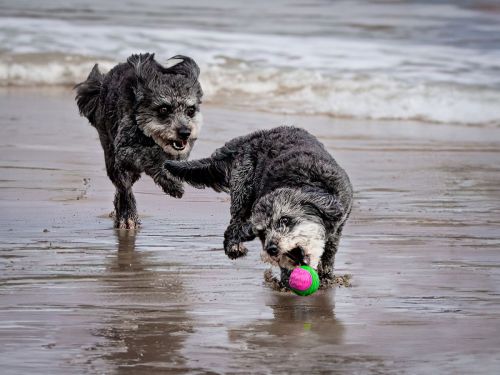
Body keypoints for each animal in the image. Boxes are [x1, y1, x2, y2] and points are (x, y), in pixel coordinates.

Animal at [74, 53, 203, 229]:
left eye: (190, 110)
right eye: (164, 109)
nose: (185, 133)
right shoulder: (125, 151)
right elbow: (148, 158)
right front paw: (171, 185)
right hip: (112, 156)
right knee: (123, 186)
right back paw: (127, 216)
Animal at [164, 126, 352, 288]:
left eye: (285, 219)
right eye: (262, 232)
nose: (272, 249)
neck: (304, 181)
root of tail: (248, 138)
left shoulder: (338, 225)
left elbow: (329, 253)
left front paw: (327, 277)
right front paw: (286, 283)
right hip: (243, 191)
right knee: (233, 226)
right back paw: (233, 247)